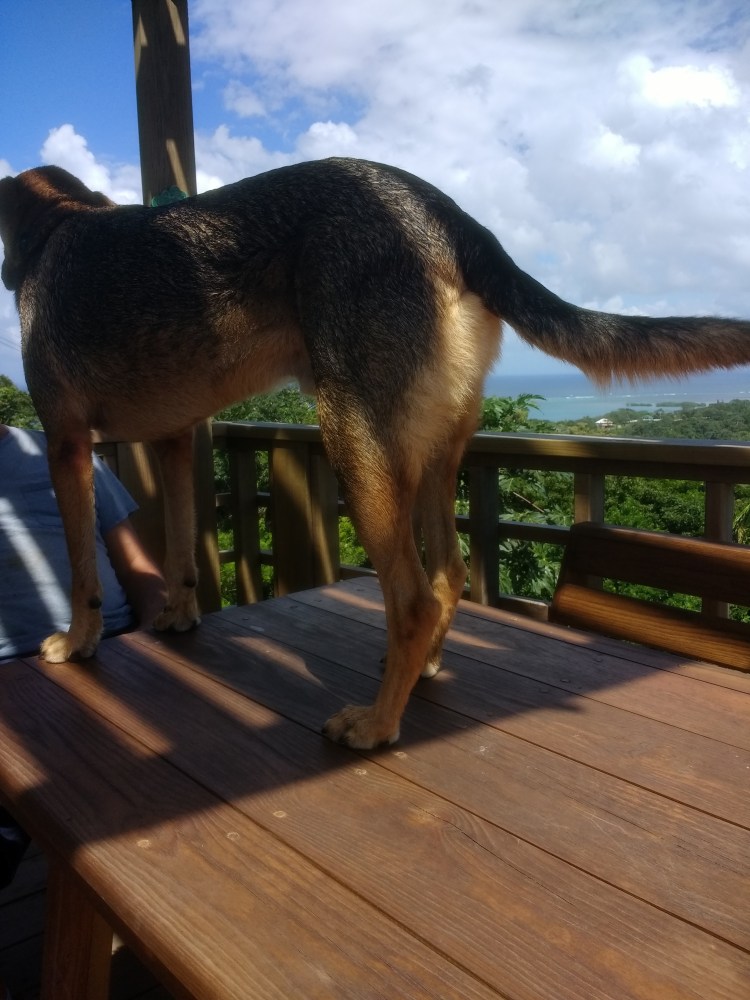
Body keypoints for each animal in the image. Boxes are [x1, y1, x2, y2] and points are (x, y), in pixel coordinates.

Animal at [1, 157, 750, 748]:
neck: (61, 225)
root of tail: (448, 216)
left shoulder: (66, 444)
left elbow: (80, 566)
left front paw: (78, 641)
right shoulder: (176, 441)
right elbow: (184, 545)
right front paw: (180, 618)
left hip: (355, 442)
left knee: (412, 597)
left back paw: (377, 724)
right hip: (431, 456)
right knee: (448, 573)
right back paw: (420, 670)